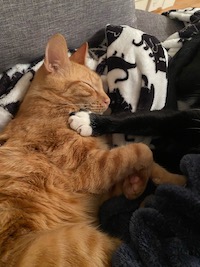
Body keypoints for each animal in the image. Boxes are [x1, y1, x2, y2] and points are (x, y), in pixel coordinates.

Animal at [0, 34, 185, 267]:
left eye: (103, 86)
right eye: (89, 86)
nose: (108, 100)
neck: (51, 110)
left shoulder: (102, 186)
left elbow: (150, 165)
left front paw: (167, 181)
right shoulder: (92, 168)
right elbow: (141, 151)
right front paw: (140, 184)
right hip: (82, 241)